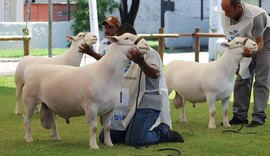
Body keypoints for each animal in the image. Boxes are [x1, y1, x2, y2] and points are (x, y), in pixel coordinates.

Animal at [21, 33, 150, 149]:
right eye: (127, 38)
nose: (146, 45)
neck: (106, 74)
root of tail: (32, 69)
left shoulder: (111, 109)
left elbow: (108, 127)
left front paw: (109, 144)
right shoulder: (91, 107)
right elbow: (93, 128)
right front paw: (94, 146)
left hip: (49, 104)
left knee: (52, 120)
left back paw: (56, 137)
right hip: (30, 100)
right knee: (26, 119)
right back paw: (28, 138)